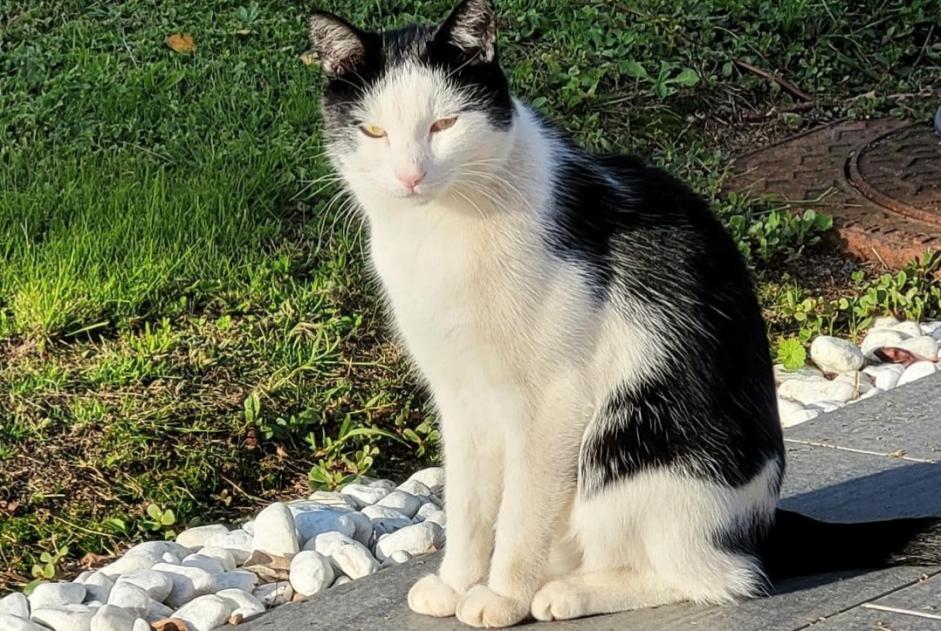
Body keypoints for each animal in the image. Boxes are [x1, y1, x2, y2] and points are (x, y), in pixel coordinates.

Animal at [306, 0, 932, 628]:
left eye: (444, 125)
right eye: (373, 131)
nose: (410, 176)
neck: (441, 230)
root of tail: (758, 525)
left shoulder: (553, 399)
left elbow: (520, 513)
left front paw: (501, 596)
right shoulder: (459, 397)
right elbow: (467, 505)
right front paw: (457, 582)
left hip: (627, 451)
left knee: (719, 578)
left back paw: (567, 593)